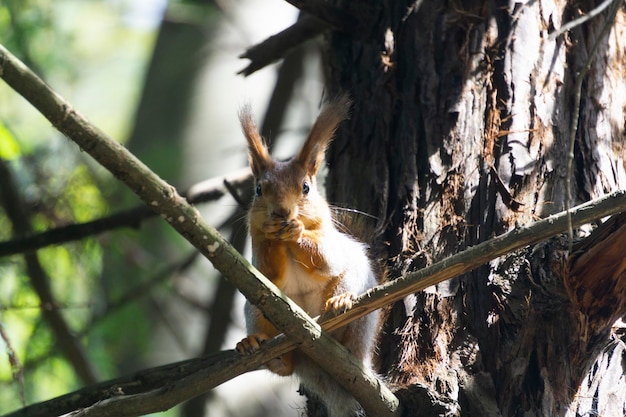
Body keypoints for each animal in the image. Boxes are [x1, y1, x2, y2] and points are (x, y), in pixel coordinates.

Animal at [235, 95, 378, 416]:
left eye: (306, 187)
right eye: (259, 189)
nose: (282, 213)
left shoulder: (332, 244)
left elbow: (325, 260)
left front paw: (297, 230)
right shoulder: (257, 256)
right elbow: (267, 273)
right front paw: (273, 231)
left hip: (357, 304)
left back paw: (341, 304)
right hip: (256, 311)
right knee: (285, 366)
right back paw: (260, 348)